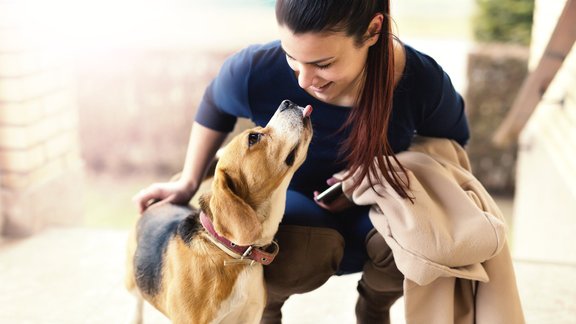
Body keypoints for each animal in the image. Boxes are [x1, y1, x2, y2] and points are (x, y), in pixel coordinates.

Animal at [125, 99, 316, 324]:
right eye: (253, 137)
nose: (288, 102)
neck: (234, 253)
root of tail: (159, 201)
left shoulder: (250, 317)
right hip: (132, 283)